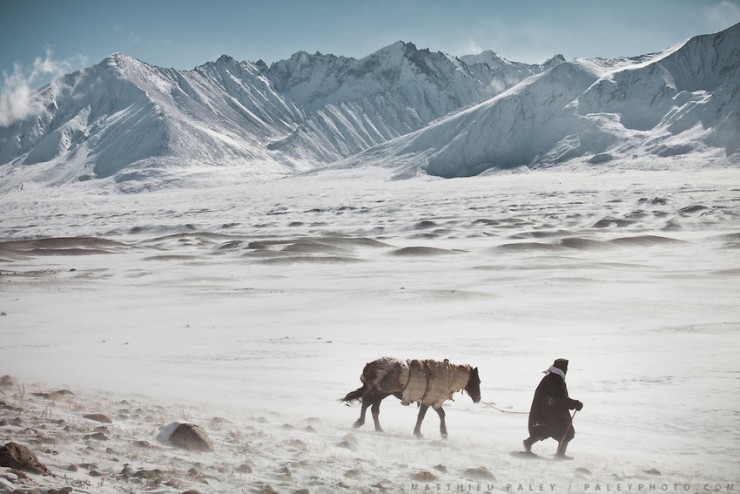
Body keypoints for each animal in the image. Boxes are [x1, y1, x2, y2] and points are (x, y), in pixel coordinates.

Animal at [340, 356, 482, 438]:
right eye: (477, 381)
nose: (478, 399)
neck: (449, 376)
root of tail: (370, 366)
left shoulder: (433, 400)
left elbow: (441, 414)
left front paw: (444, 433)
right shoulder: (428, 400)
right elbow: (423, 416)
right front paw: (419, 433)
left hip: (382, 393)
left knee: (373, 409)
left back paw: (379, 429)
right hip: (379, 392)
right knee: (366, 403)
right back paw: (360, 422)